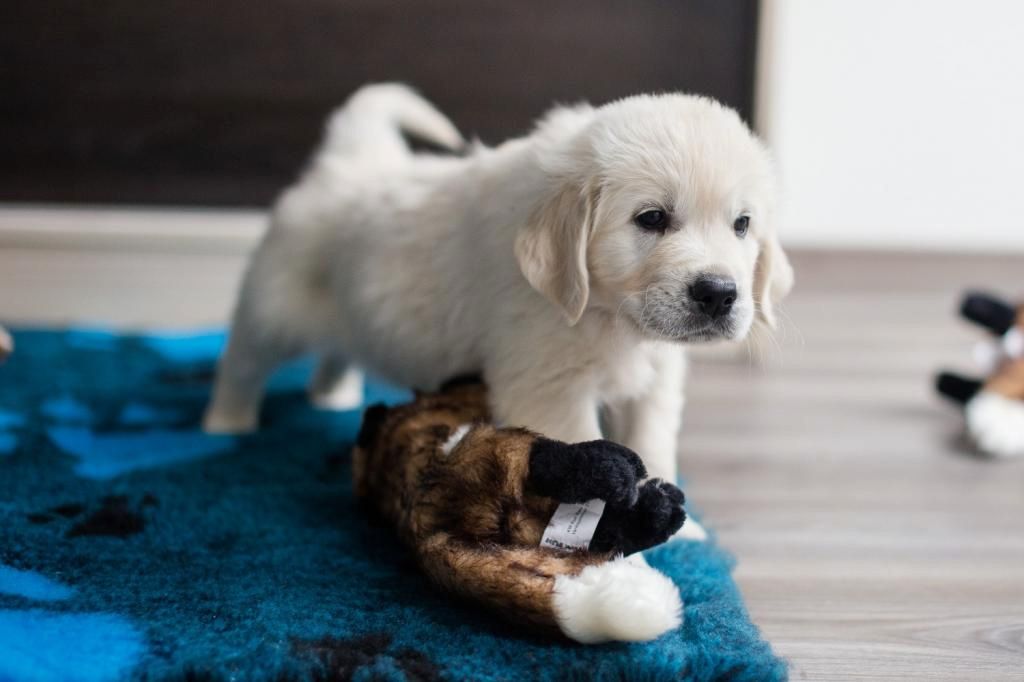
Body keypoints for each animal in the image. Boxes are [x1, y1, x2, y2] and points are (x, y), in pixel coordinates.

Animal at [204, 83, 792, 482]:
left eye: (742, 225)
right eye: (651, 218)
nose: (719, 293)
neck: (609, 317)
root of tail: (345, 161)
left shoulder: (655, 376)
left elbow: (652, 442)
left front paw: (683, 532)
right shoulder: (548, 386)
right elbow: (587, 452)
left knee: (338, 349)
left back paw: (333, 395)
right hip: (274, 308)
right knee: (242, 361)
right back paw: (226, 424)